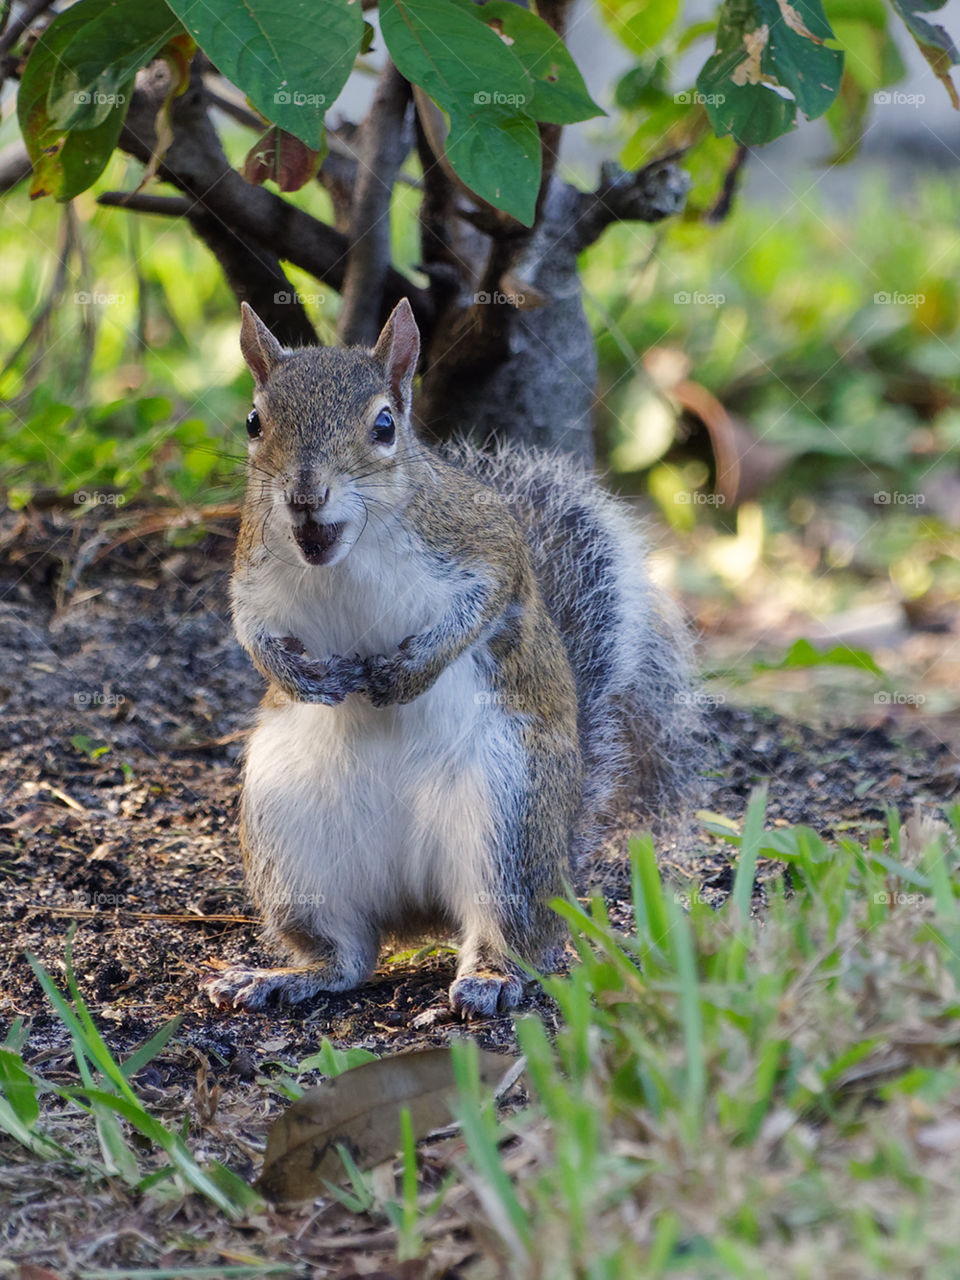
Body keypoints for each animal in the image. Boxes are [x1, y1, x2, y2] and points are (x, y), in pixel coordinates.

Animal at [203, 299, 701, 1018]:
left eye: (385, 425)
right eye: (253, 422)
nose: (304, 495)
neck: (342, 554)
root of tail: (418, 908)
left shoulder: (483, 541)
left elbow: (486, 599)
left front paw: (410, 671)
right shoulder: (251, 570)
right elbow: (249, 630)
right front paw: (294, 675)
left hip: (510, 816)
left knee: (513, 930)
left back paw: (491, 976)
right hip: (291, 843)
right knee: (345, 954)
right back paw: (284, 977)